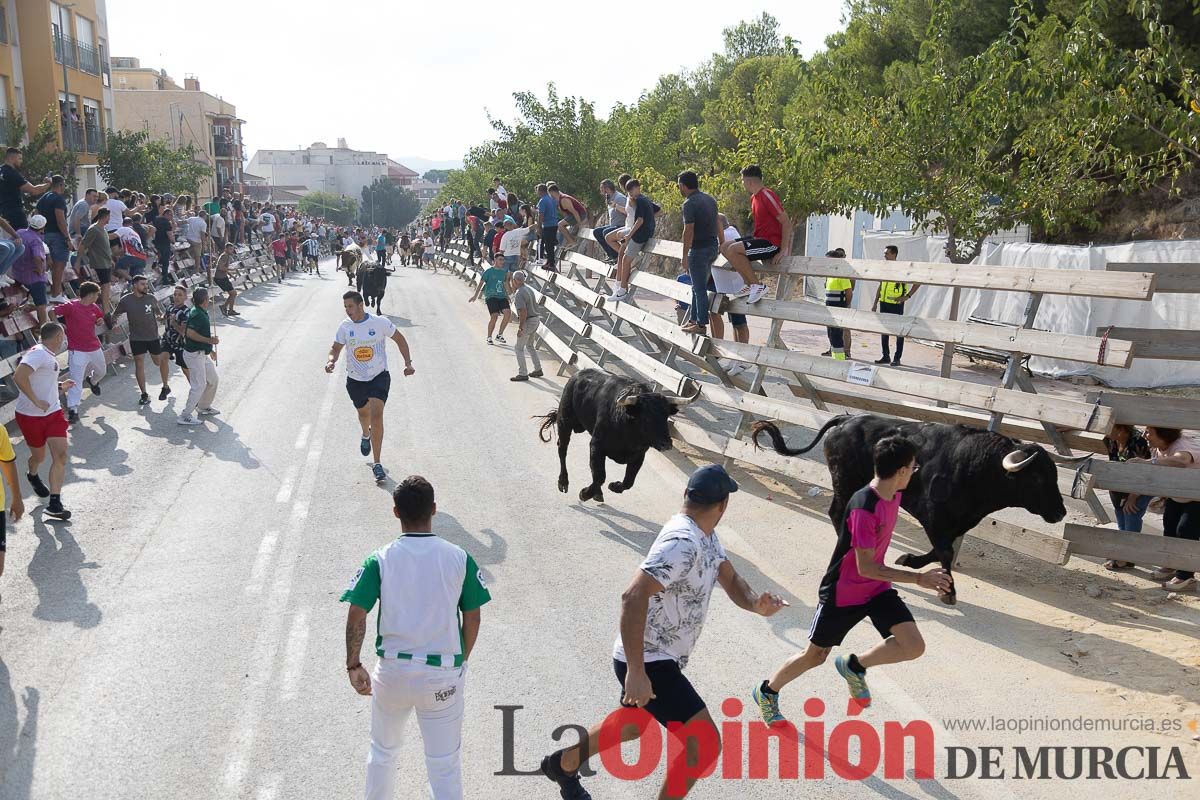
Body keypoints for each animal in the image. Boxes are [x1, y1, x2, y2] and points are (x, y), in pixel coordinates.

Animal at [540, 369, 700, 501]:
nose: (666, 443)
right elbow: (600, 476)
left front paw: (614, 486)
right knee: (562, 449)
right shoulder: (597, 445)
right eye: (647, 418)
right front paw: (585, 494)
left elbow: (628, 481)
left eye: (666, 416)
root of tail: (577, 376)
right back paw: (563, 482)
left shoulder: (639, 455)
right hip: (564, 421)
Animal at [753, 417, 1084, 604]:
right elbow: (945, 552)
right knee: (837, 512)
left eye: (1055, 474)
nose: (1060, 512)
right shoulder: (932, 515)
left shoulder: (959, 522)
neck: (977, 466)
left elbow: (940, 551)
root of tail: (844, 421)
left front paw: (909, 560)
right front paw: (948, 592)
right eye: (1038, 478)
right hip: (845, 480)